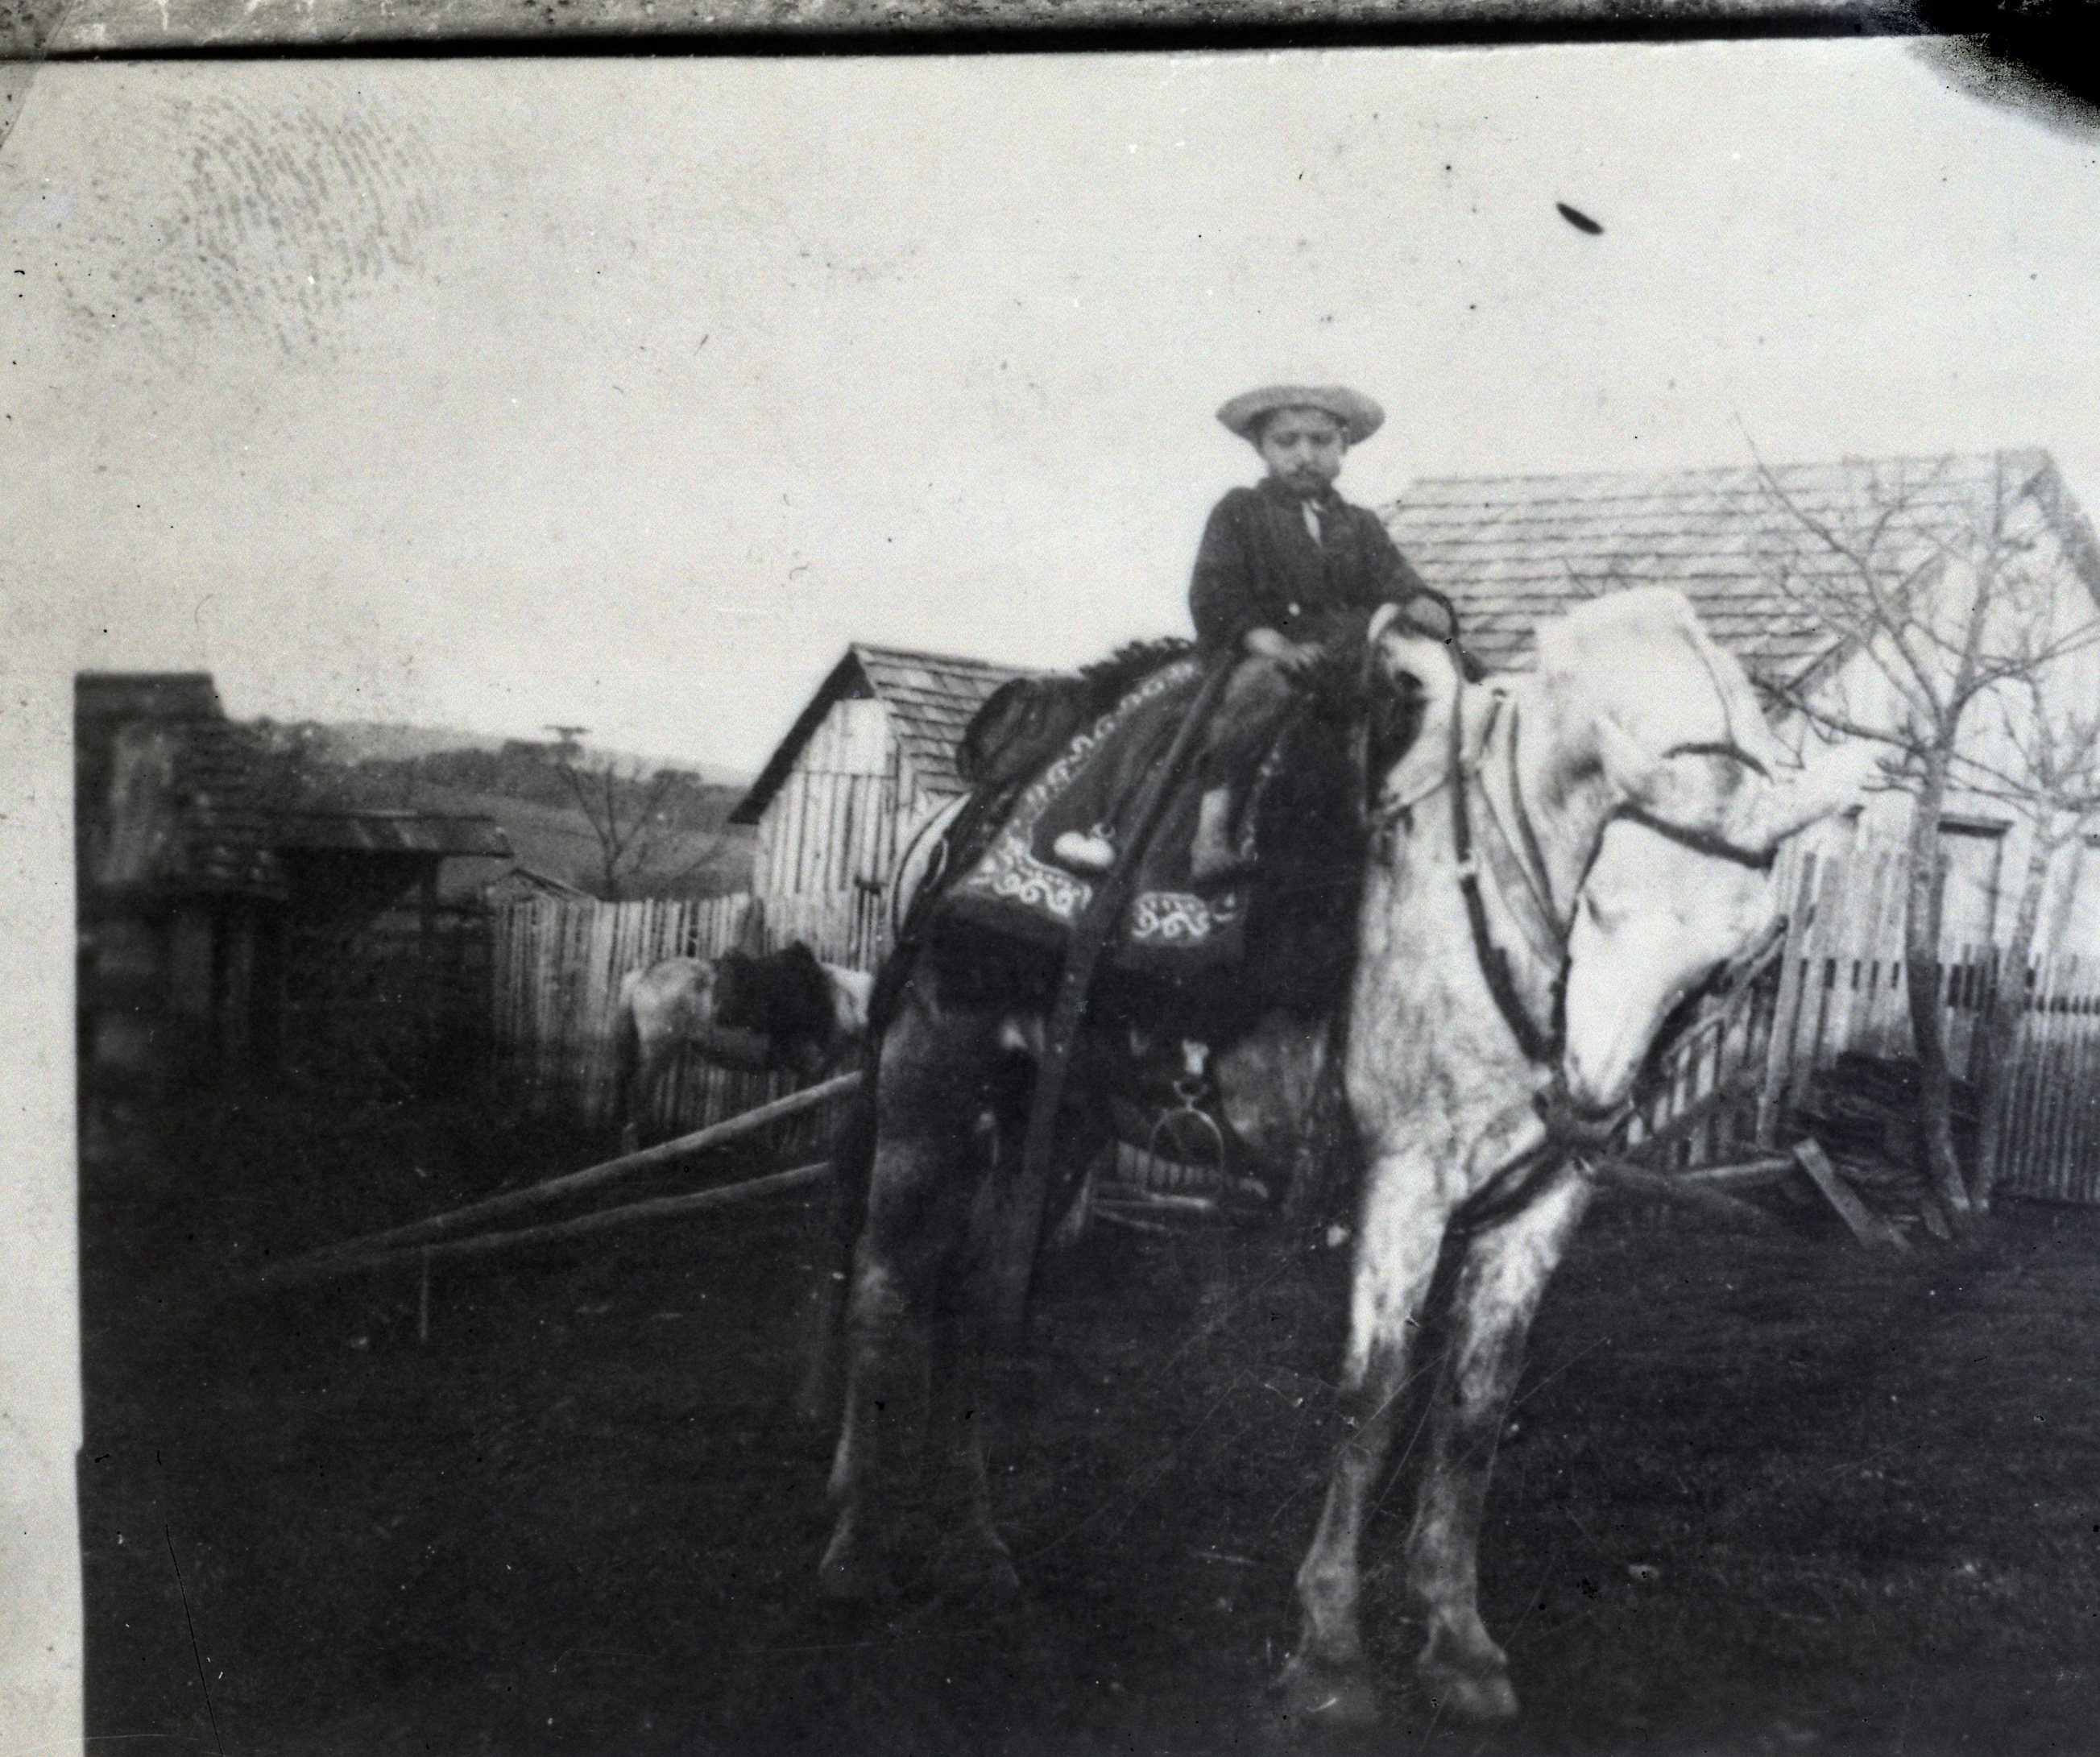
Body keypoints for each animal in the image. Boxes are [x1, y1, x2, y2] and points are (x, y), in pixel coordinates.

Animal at [612, 942, 875, 1154]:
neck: (842, 1000)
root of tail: (644, 974)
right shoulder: (812, 1070)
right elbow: (801, 1111)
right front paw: (792, 1149)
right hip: (659, 1053)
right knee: (638, 1098)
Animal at [814, 586, 1871, 1725]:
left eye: (1729, 955)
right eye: (1603, 903)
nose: (1586, 1106)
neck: (1493, 899)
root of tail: (959, 820)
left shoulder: (1541, 1206)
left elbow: (1474, 1410)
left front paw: (1459, 1641)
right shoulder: (1406, 1186)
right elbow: (1373, 1399)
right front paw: (1329, 1651)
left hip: (1051, 1131)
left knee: (970, 1303)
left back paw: (975, 1552)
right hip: (929, 1087)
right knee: (881, 1288)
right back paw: (857, 1554)